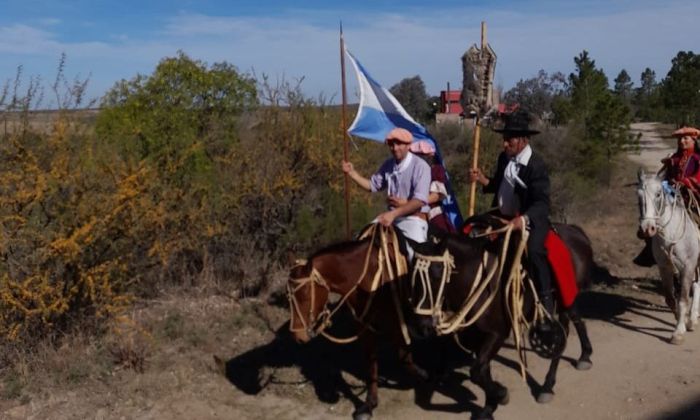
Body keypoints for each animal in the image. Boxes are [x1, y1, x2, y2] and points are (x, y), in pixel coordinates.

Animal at [288, 226, 430, 420]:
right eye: (289, 297)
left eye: (305, 296)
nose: (298, 336)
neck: (370, 277)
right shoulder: (366, 327)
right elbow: (371, 363)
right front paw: (369, 404)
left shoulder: (397, 324)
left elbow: (405, 359)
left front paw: (423, 377)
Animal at [410, 220, 596, 420]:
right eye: (412, 274)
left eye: (437, 272)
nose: (422, 326)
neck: (479, 280)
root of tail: (576, 232)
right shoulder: (479, 335)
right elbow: (483, 370)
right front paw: (489, 407)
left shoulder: (497, 333)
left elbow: (477, 372)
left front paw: (500, 394)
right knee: (576, 320)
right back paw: (585, 355)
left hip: (563, 300)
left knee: (562, 334)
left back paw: (547, 386)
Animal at [636, 171, 700, 344]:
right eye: (638, 195)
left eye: (658, 194)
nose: (647, 229)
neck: (670, 234)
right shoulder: (664, 268)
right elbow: (671, 299)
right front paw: (681, 321)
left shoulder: (687, 266)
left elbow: (683, 299)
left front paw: (678, 332)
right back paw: (692, 320)